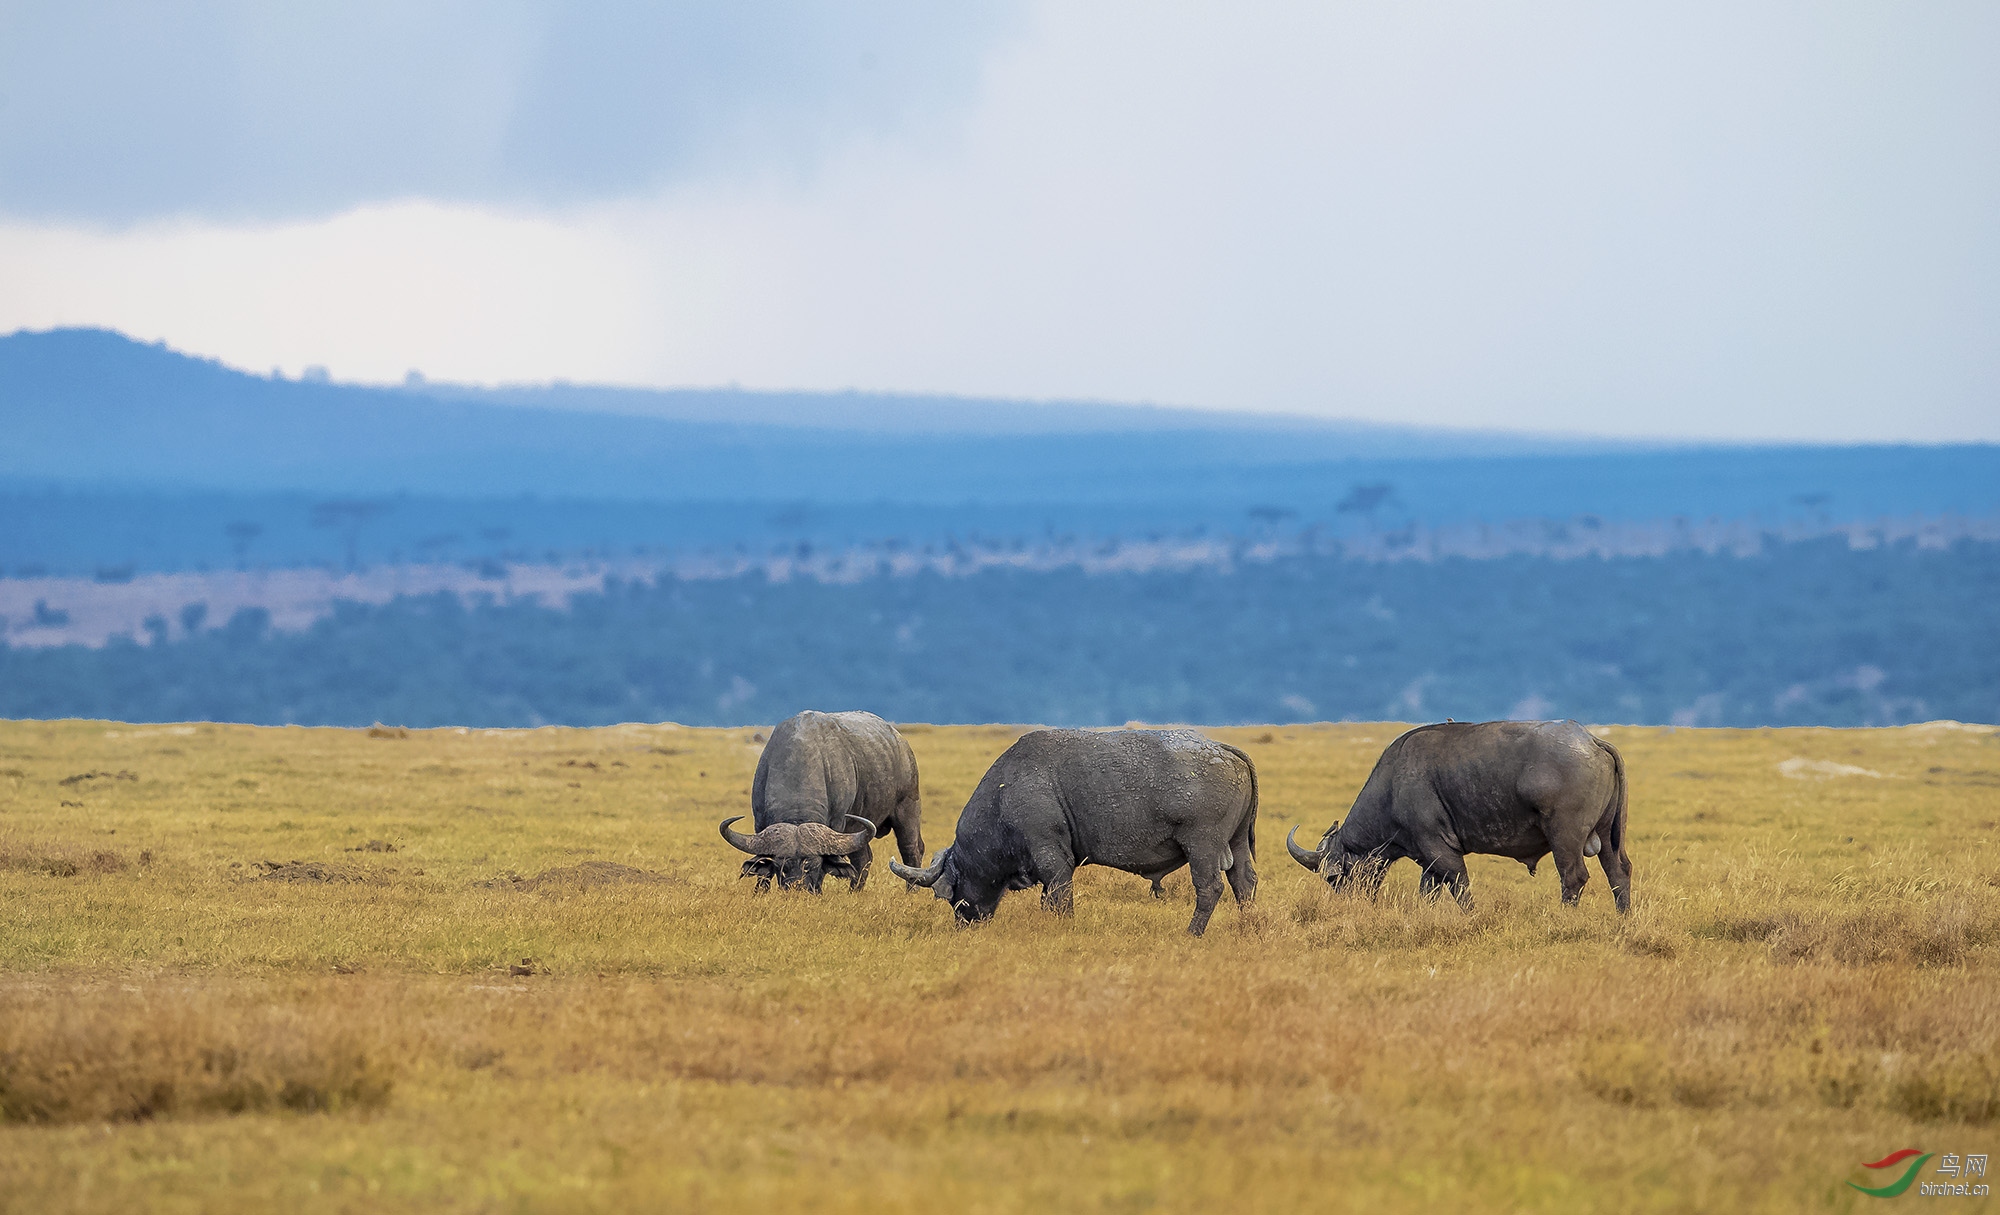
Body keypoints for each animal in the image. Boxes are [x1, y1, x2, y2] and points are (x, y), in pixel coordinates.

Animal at [716, 711, 924, 891]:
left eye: (813, 865)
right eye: (781, 865)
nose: (798, 889)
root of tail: (901, 742)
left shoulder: (838, 824)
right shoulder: (759, 825)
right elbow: (762, 871)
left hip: (907, 807)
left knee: (911, 850)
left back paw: (911, 892)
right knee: (863, 858)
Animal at [888, 727, 1248, 935]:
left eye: (955, 897)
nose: (964, 924)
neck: (1006, 792)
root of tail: (1223, 749)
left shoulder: (1052, 858)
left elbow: (1061, 898)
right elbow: (1048, 900)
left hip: (1202, 845)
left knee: (1210, 888)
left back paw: (1192, 933)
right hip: (1238, 843)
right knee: (1243, 883)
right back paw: (1247, 927)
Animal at [1288, 719, 1632, 911]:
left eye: (1332, 877)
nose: (1348, 905)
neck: (1393, 787)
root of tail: (1591, 740)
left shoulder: (1441, 850)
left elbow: (1460, 887)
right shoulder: (1427, 858)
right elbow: (1429, 893)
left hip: (1565, 836)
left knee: (1574, 876)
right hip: (1607, 836)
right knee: (1619, 873)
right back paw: (1623, 918)